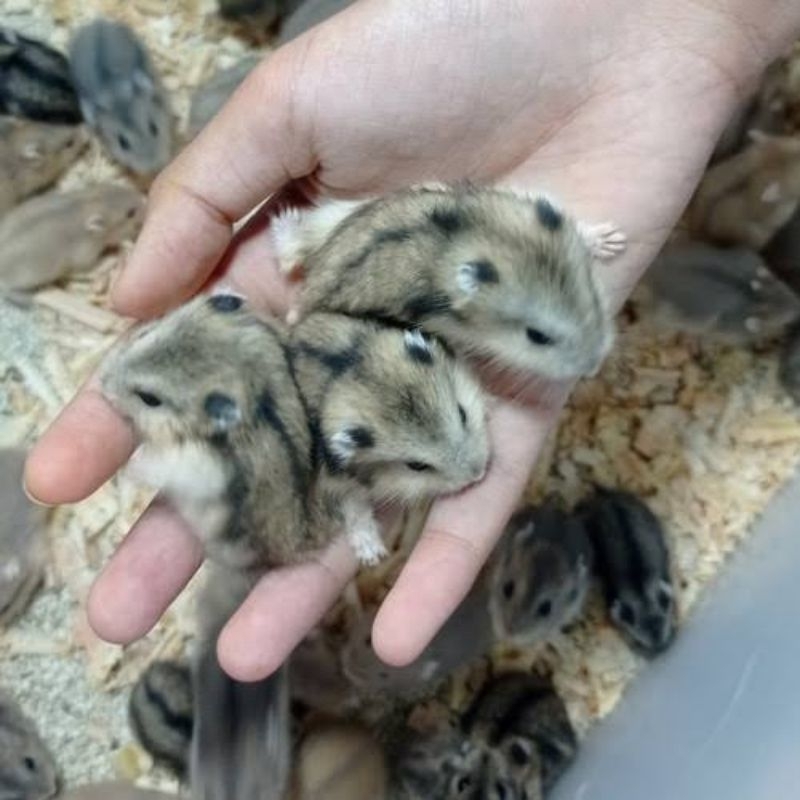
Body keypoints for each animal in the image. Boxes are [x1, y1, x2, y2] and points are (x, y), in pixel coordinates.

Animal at [289, 311, 489, 564]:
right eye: (416, 466)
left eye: (463, 413)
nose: (478, 475)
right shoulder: (338, 482)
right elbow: (354, 507)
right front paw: (373, 556)